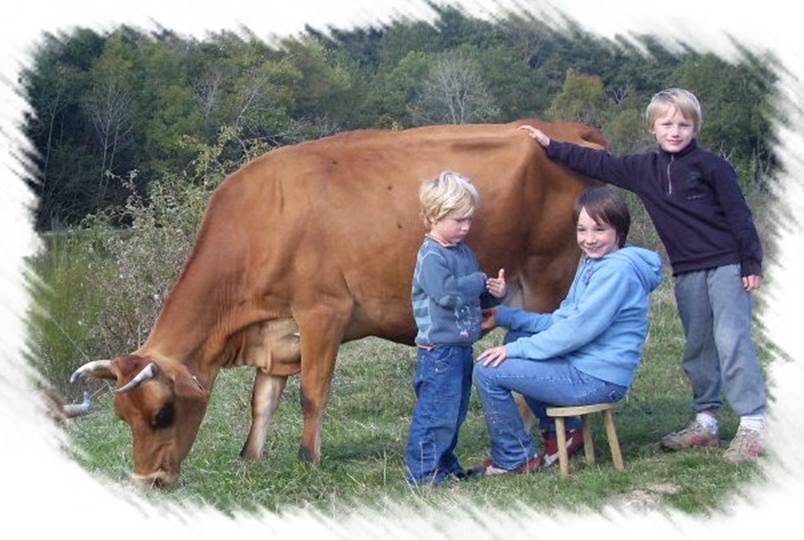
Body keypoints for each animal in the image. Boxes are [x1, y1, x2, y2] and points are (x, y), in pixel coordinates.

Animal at [68, 119, 605, 487]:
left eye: (163, 414)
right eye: (123, 418)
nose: (149, 482)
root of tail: (568, 128)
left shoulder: (323, 312)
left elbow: (311, 392)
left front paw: (309, 458)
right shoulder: (276, 333)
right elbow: (262, 400)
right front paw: (251, 457)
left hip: (547, 277)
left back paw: (554, 446)